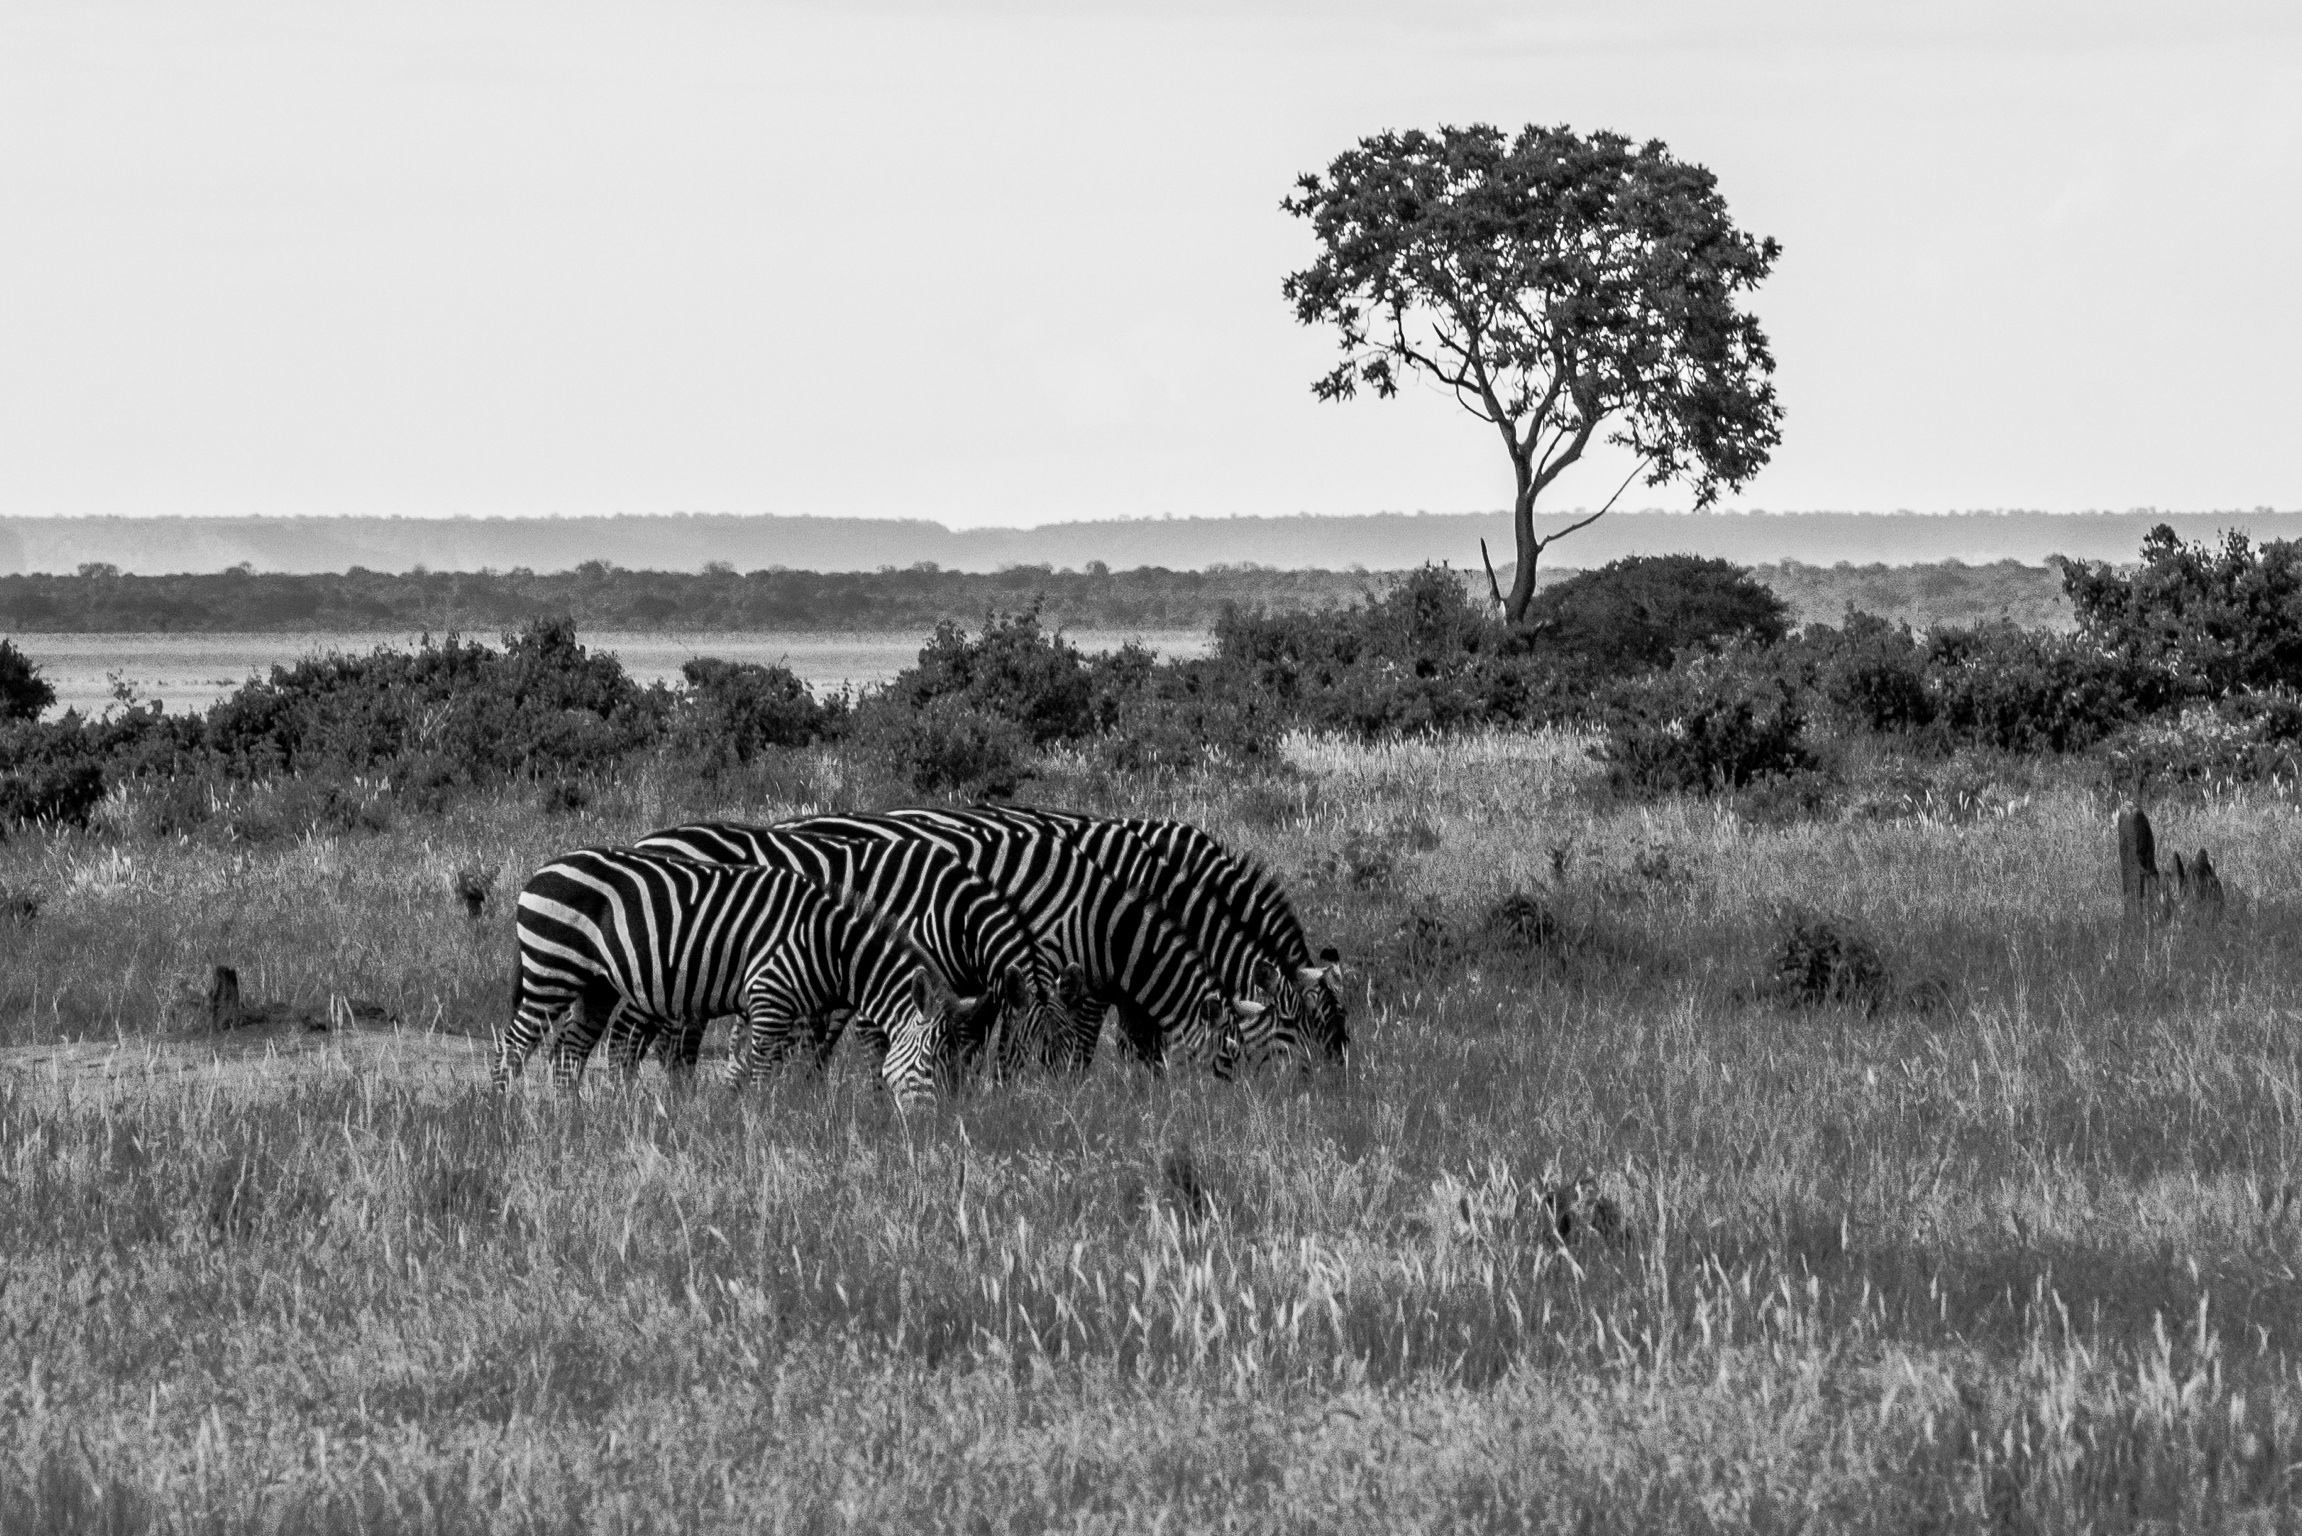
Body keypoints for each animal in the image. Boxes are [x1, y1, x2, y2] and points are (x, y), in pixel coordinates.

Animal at [498, 847, 988, 1103]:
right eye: (931, 1059)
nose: (934, 1124)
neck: (827, 946)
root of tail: (539, 873)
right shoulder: (771, 998)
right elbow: (760, 1069)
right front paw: (757, 1124)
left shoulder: (791, 1009)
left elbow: (779, 1064)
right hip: (551, 970)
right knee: (515, 1044)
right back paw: (502, 1113)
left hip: (594, 984)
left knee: (568, 1051)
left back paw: (570, 1121)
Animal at [626, 820, 1080, 1081]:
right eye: (1038, 1055)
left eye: (1066, 1055)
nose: (1054, 1114)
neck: (950, 912)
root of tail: (647, 839)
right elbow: (873, 1045)